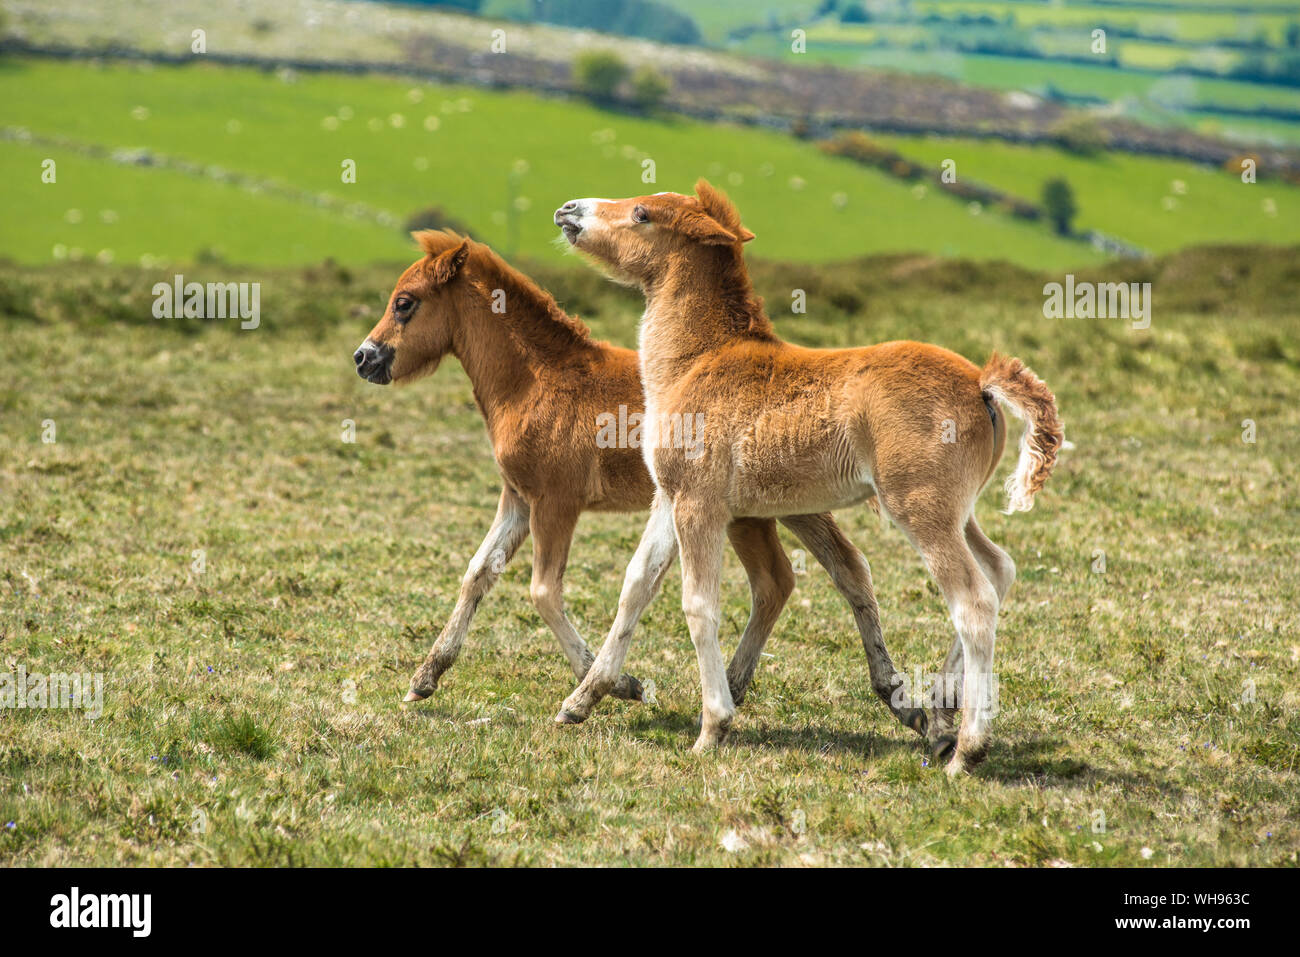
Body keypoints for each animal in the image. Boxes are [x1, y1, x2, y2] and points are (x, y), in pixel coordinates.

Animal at [353, 230, 925, 731]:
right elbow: (477, 573)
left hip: (759, 508)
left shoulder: (556, 502)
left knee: (792, 577)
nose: (364, 357)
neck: (535, 381)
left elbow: (543, 592)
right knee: (821, 573)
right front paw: (424, 678)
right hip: (778, 504)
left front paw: (613, 684)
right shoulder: (517, 498)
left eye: (405, 302)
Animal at [553, 182, 1063, 775]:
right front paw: (580, 701)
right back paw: (939, 709)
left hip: (918, 507)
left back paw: (966, 749)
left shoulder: (699, 504)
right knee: (999, 570)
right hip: (958, 510)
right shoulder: (669, 497)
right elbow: (636, 586)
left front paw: (712, 727)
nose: (569, 210)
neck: (696, 361)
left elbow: (698, 605)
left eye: (641, 213)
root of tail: (982, 382)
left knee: (974, 602)